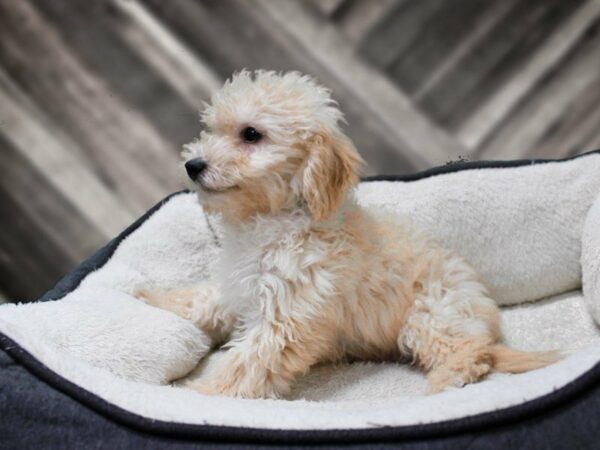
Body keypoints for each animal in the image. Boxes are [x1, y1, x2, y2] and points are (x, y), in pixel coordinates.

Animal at [138, 69, 560, 398]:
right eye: (210, 129)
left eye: (252, 134)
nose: (193, 165)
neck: (273, 220)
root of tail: (486, 319)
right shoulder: (239, 289)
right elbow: (203, 301)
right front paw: (150, 298)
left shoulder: (286, 316)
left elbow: (249, 361)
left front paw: (204, 394)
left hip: (431, 315)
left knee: (472, 354)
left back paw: (445, 381)